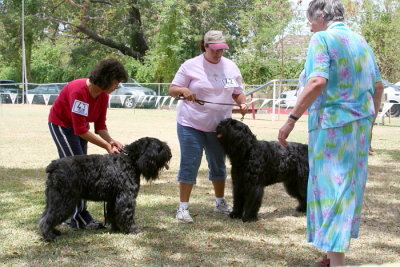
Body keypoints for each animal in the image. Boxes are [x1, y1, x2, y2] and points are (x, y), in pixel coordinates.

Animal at [38, 137, 173, 242]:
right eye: (159, 147)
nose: (170, 155)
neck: (130, 160)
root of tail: (54, 165)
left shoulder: (114, 199)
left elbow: (114, 214)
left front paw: (116, 229)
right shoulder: (126, 198)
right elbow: (127, 215)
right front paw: (132, 229)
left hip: (53, 198)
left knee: (45, 215)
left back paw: (53, 232)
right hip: (64, 200)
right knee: (48, 217)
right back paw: (49, 236)